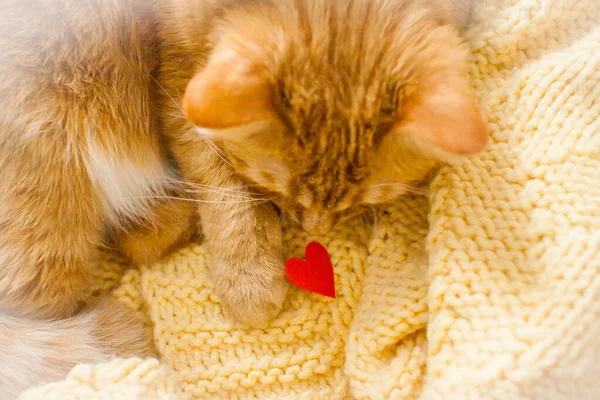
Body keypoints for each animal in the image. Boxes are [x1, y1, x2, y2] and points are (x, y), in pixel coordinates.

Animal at [0, 0, 488, 396]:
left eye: (355, 203)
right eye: (275, 185)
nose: (313, 228)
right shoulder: (179, 81)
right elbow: (224, 189)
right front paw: (249, 275)